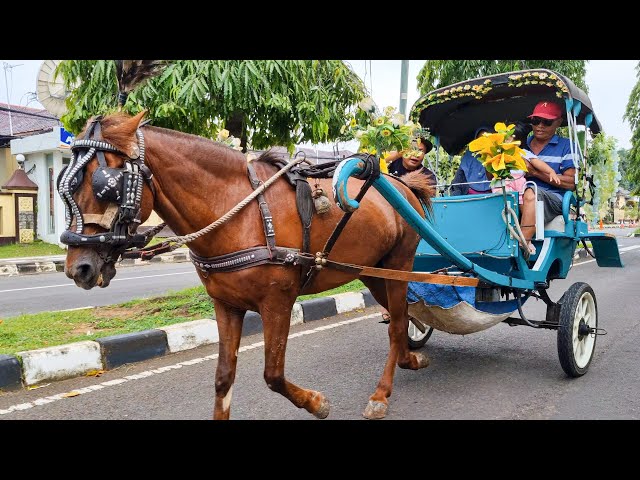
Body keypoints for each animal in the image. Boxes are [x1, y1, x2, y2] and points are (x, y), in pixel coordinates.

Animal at [61, 110, 436, 418]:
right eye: (65, 183)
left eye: (106, 185)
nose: (78, 269)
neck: (241, 212)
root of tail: (405, 186)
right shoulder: (226, 305)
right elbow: (223, 378)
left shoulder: (277, 302)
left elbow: (273, 375)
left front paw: (317, 402)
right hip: (372, 269)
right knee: (401, 315)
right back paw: (409, 356)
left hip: (399, 262)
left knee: (396, 322)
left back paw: (382, 393)